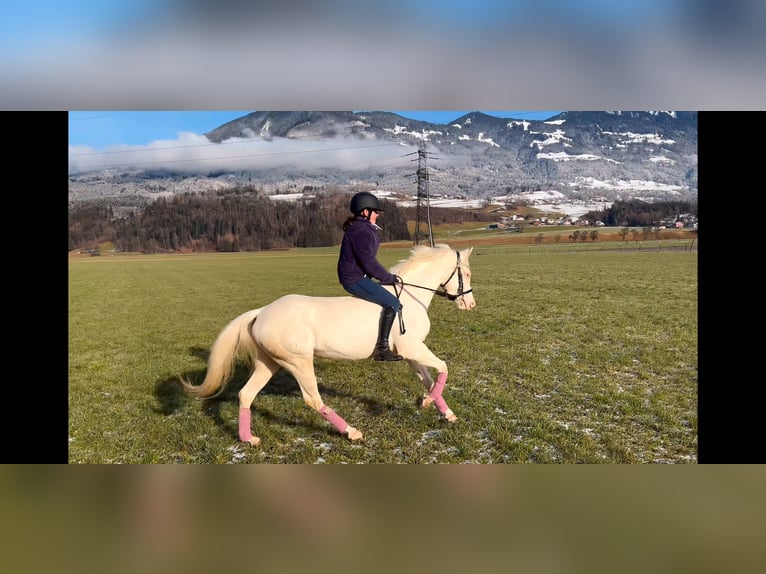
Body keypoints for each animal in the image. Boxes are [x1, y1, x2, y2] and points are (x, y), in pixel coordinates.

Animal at [182, 243, 476, 446]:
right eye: (467, 273)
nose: (470, 305)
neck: (411, 297)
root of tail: (262, 311)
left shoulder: (411, 352)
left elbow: (429, 378)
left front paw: (442, 410)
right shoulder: (412, 349)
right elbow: (444, 367)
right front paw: (426, 402)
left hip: (269, 364)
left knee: (246, 394)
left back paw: (248, 439)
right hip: (298, 361)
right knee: (312, 398)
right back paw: (351, 431)